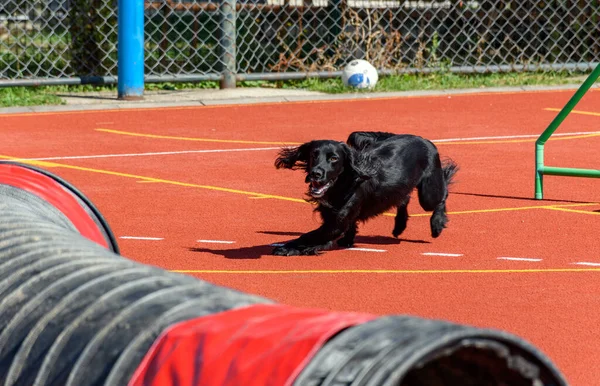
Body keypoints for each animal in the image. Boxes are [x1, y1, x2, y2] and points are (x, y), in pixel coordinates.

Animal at [274, 131, 460, 255]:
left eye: (334, 158)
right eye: (314, 155)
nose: (316, 173)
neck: (344, 182)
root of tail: (423, 139)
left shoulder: (335, 224)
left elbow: (308, 236)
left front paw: (288, 248)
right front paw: (347, 240)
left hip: (428, 194)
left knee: (443, 194)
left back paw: (437, 224)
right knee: (404, 198)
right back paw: (399, 226)